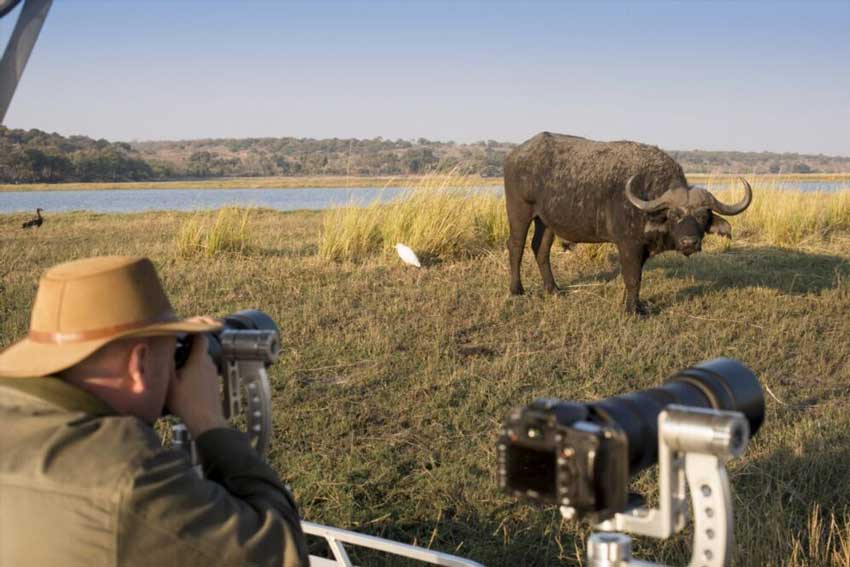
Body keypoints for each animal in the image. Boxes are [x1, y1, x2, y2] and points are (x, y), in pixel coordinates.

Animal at [504, 133, 748, 316]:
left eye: (702, 216)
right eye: (674, 214)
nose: (689, 242)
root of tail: (515, 154)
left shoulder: (643, 248)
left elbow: (636, 277)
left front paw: (633, 304)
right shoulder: (628, 245)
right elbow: (633, 277)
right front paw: (632, 311)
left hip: (546, 221)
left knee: (540, 249)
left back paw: (552, 289)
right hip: (519, 212)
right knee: (516, 247)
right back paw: (517, 290)